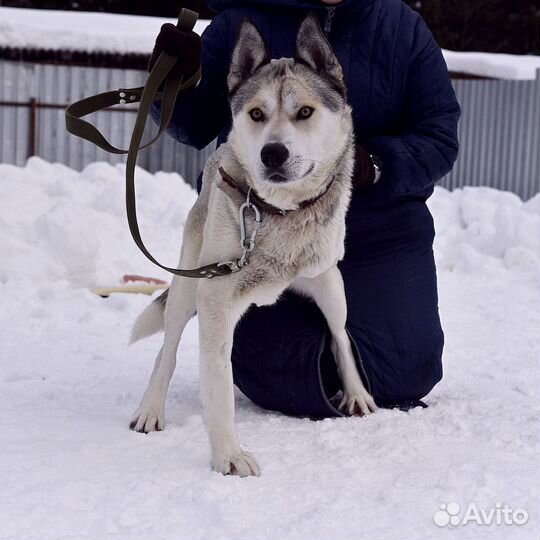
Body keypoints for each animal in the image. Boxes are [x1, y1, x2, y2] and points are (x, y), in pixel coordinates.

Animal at [129, 13, 378, 476]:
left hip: (331, 286)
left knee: (339, 334)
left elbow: (340, 339)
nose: (273, 153)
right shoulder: (213, 298)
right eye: (257, 113)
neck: (276, 212)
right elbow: (218, 385)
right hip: (187, 287)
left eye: (304, 112)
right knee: (167, 349)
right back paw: (151, 408)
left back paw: (356, 393)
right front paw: (228, 455)